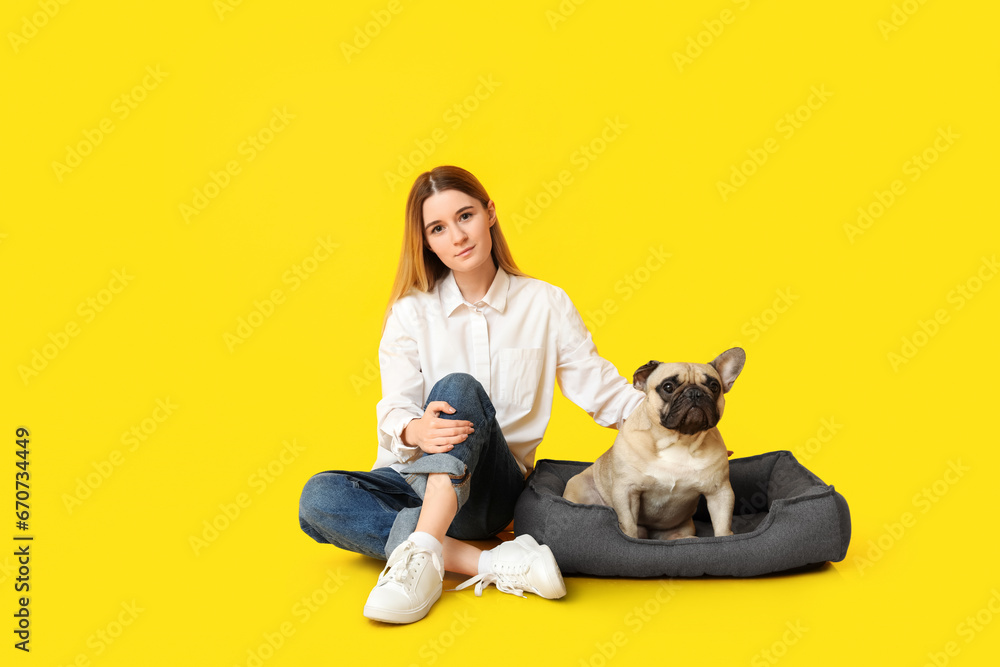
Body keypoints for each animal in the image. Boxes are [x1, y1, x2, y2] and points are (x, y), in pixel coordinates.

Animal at [564, 348, 744, 540]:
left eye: (714, 387)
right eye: (668, 387)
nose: (695, 393)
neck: (679, 440)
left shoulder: (719, 491)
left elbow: (723, 526)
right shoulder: (627, 491)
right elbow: (628, 525)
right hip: (579, 486)